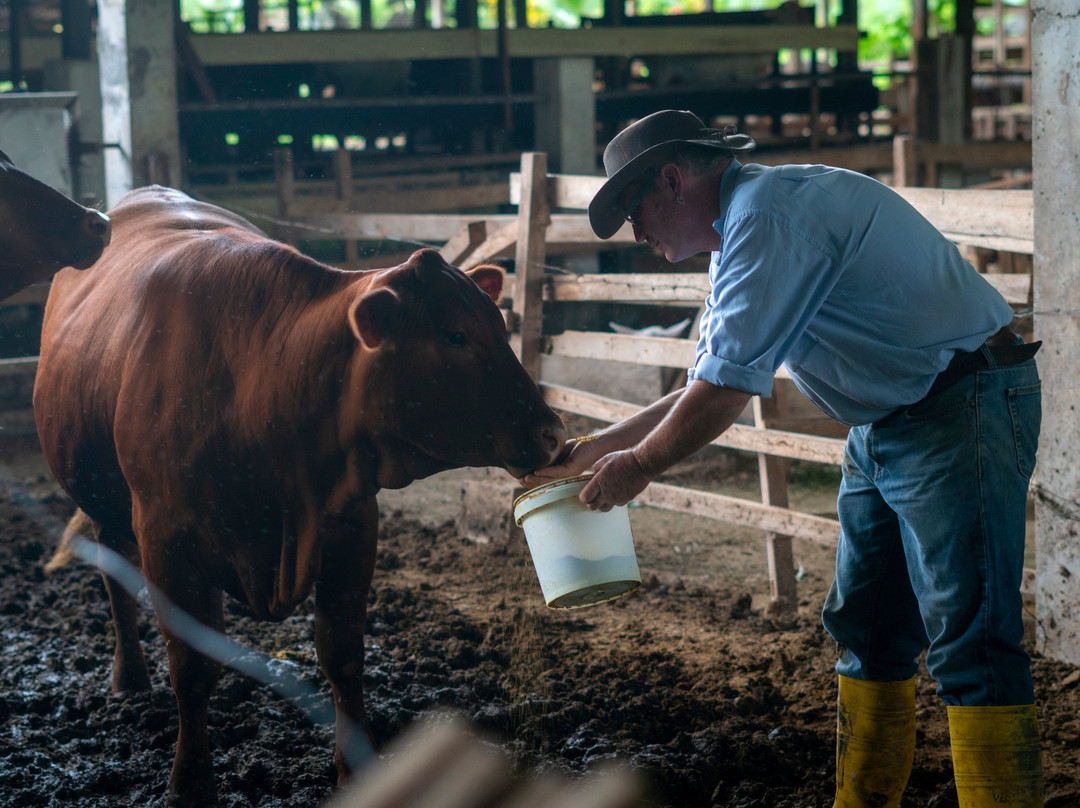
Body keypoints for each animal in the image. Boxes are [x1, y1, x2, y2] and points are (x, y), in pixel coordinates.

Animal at [33, 184, 565, 808]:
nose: (552, 432)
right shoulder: (167, 539)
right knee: (116, 580)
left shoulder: (352, 524)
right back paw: (130, 679)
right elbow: (190, 666)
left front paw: (356, 770)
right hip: (105, 504)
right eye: (454, 334)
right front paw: (189, 782)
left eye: (500, 328)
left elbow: (342, 654)